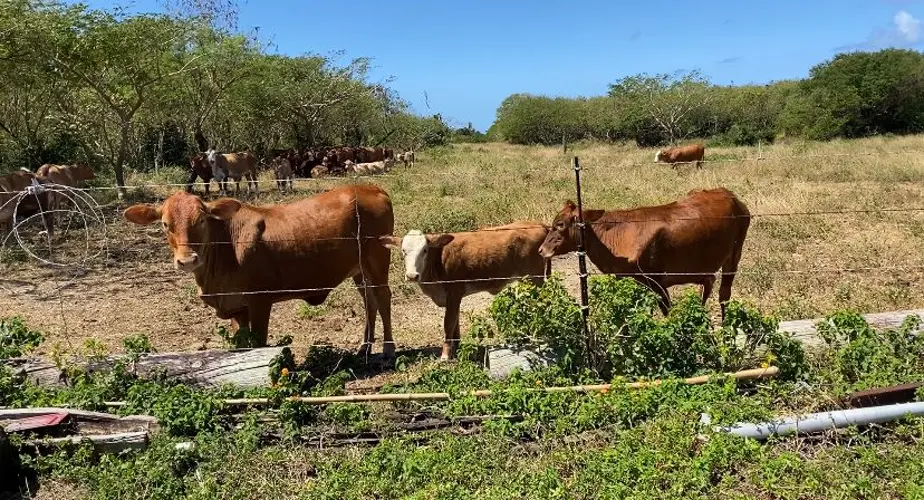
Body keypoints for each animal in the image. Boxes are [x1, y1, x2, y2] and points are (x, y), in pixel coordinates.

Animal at [122, 184, 396, 354]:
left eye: (201, 220)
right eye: (165, 224)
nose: (187, 260)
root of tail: (371, 188)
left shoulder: (260, 301)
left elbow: (259, 343)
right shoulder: (237, 308)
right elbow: (243, 345)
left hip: (377, 260)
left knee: (383, 298)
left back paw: (388, 347)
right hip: (359, 271)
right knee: (369, 301)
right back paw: (365, 345)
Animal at [380, 221, 552, 361]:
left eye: (424, 250)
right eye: (403, 251)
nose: (412, 276)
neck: (439, 259)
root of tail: (538, 224)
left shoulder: (454, 293)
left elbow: (448, 323)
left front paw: (445, 355)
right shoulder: (451, 299)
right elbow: (455, 324)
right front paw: (455, 348)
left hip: (534, 279)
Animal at [539, 188, 750, 319]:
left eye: (560, 224)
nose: (541, 250)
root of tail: (730, 195)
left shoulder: (657, 281)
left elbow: (667, 311)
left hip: (734, 255)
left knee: (724, 293)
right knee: (708, 283)